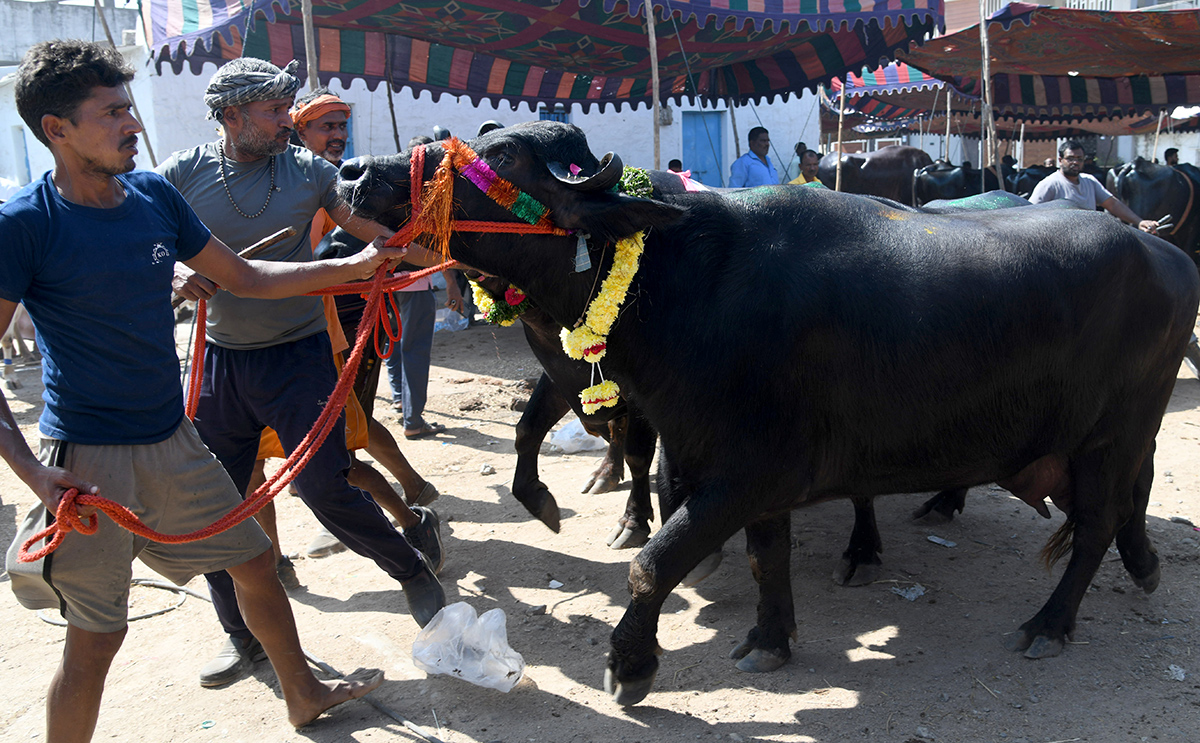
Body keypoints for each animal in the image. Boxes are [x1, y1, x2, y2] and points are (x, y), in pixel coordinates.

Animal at [338, 123, 1200, 710]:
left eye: (507, 160)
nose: (352, 171)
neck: (683, 280)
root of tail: (1167, 255)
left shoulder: (748, 469)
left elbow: (655, 560)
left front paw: (632, 665)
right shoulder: (740, 471)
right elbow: (763, 557)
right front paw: (768, 638)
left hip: (1116, 435)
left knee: (1097, 523)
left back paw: (1050, 623)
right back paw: (1137, 567)